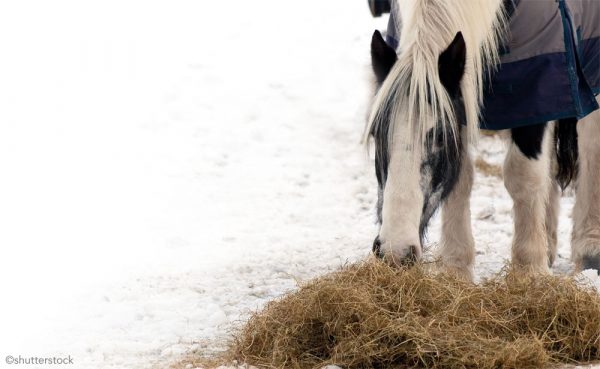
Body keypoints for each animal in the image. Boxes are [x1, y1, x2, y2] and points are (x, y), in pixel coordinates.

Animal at [366, 0, 600, 278]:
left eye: (441, 136)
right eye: (376, 133)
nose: (395, 250)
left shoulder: (533, 93)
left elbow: (524, 175)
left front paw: (530, 269)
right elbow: (460, 180)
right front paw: (455, 268)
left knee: (590, 146)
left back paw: (590, 248)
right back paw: (549, 244)